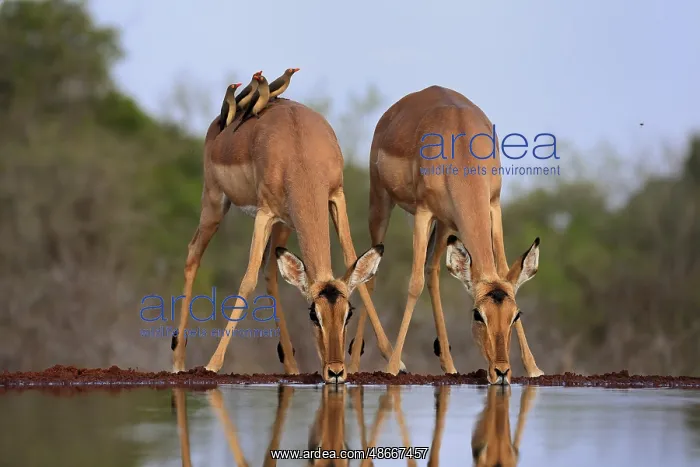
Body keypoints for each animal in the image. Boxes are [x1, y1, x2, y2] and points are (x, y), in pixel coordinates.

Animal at [171, 95, 404, 383]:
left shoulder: (335, 198)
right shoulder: (264, 214)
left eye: (348, 313)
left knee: (271, 274)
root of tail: (219, 126)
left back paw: (292, 367)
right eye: (313, 314)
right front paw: (212, 365)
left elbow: (353, 262)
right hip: (214, 203)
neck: (298, 150)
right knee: (193, 254)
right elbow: (247, 280)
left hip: (284, 224)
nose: (336, 371)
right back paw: (178, 361)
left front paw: (397, 362)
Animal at [351, 85, 544, 384]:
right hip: (381, 203)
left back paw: (449, 365)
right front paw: (393, 367)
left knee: (432, 271)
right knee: (371, 275)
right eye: (478, 315)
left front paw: (534, 368)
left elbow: (502, 268)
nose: (501, 371)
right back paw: (361, 364)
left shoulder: (493, 205)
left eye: (515, 314)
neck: (460, 143)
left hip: (445, 224)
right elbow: (414, 283)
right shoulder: (423, 213)